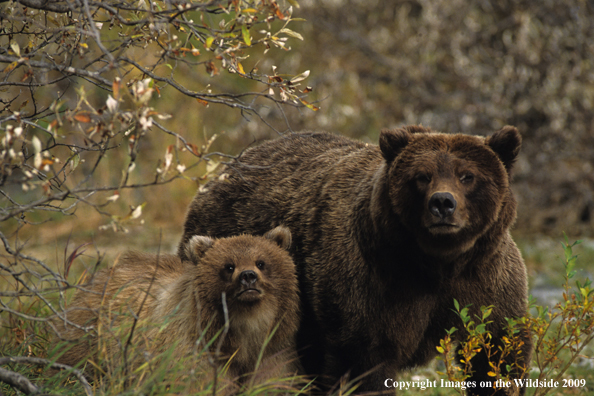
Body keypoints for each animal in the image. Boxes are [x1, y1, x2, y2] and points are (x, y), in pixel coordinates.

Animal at [53, 226, 298, 386]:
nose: (248, 277)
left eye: (261, 262)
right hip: (90, 339)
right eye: (229, 266)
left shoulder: (273, 351)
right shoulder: (194, 351)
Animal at [178, 126, 528, 392]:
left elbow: (499, 354)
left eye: (467, 175)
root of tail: (228, 168)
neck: (437, 263)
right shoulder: (373, 287)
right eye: (422, 176)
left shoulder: (485, 280)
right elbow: (366, 358)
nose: (442, 203)